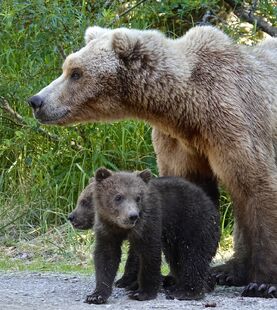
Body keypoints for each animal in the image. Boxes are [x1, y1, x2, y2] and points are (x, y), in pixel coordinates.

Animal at [27, 25, 276, 296]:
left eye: (76, 73)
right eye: (66, 67)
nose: (36, 101)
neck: (187, 112)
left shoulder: (235, 124)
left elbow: (257, 186)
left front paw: (263, 283)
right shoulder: (179, 144)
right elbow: (189, 199)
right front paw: (179, 275)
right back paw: (227, 271)